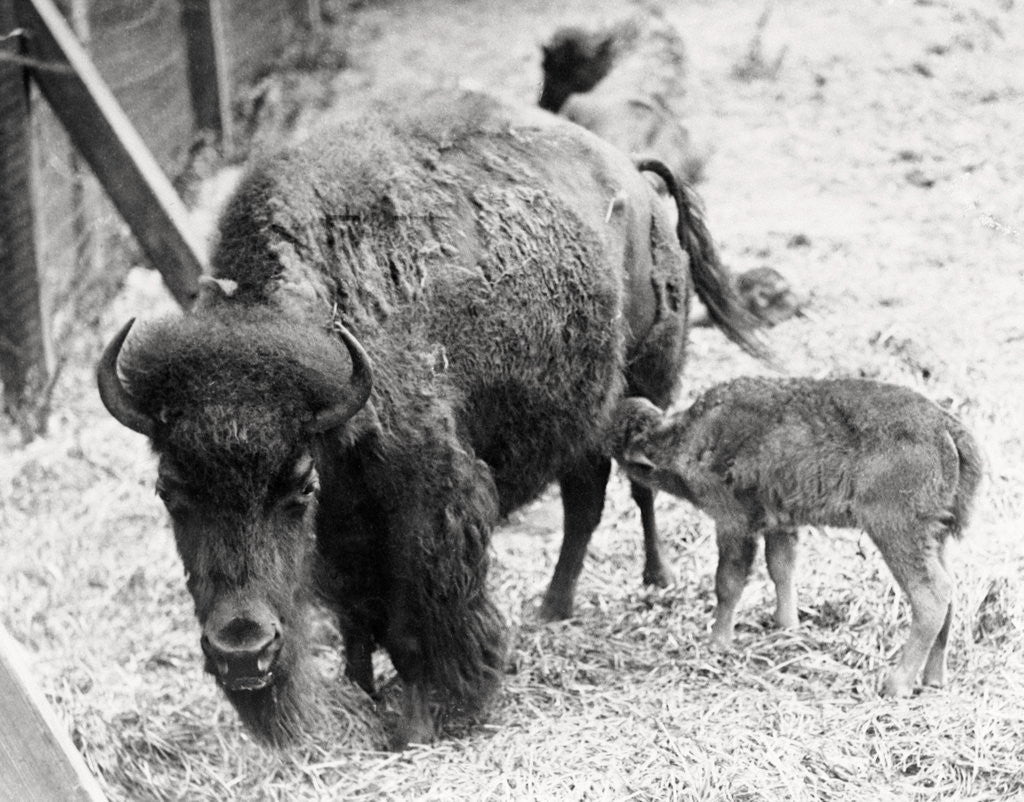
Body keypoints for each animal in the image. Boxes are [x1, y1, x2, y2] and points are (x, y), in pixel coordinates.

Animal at [97, 90, 763, 746]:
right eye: (169, 489)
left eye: (299, 486)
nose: (242, 651)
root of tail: (634, 173)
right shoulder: (343, 537)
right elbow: (357, 618)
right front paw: (362, 691)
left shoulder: (426, 507)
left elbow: (410, 626)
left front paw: (417, 725)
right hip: (587, 418)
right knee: (584, 501)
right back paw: (554, 606)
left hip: (650, 381)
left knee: (635, 488)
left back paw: (653, 578)